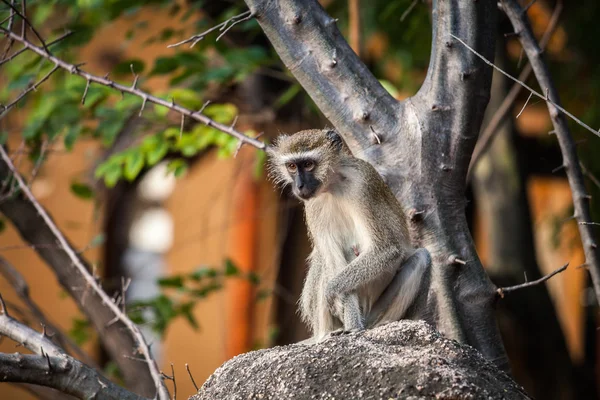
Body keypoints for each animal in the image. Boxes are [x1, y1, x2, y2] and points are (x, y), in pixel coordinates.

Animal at [268, 128, 432, 340]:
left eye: (309, 164)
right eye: (292, 166)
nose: (300, 186)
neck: (332, 185)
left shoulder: (364, 183)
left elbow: (387, 249)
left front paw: (332, 291)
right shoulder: (311, 205)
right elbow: (333, 260)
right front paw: (349, 322)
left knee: (422, 257)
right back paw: (328, 334)